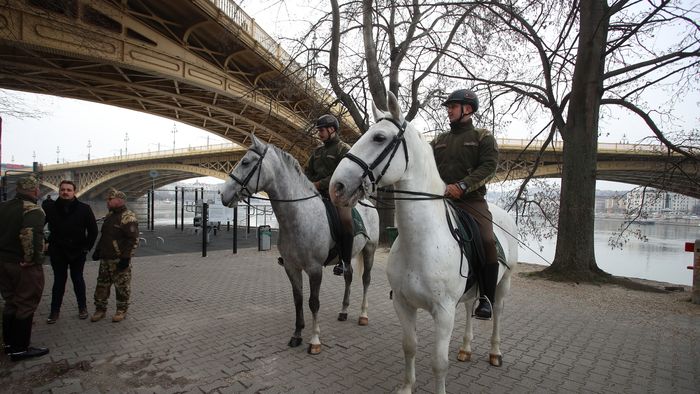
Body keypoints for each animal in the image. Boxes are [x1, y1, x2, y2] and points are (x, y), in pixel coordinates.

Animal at [221, 135, 380, 354]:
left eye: (245, 162)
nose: (223, 195)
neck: (299, 215)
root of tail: (369, 204)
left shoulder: (314, 269)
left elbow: (314, 302)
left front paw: (314, 340)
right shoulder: (291, 267)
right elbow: (298, 299)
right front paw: (297, 335)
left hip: (369, 249)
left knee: (366, 279)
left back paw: (363, 315)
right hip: (349, 257)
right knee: (348, 276)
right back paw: (343, 311)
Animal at [330, 93, 520, 394]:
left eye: (379, 138)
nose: (336, 187)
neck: (421, 243)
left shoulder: (443, 313)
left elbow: (438, 363)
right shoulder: (404, 305)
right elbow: (410, 347)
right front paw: (407, 387)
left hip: (504, 284)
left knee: (497, 312)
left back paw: (495, 353)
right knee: (470, 309)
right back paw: (465, 349)